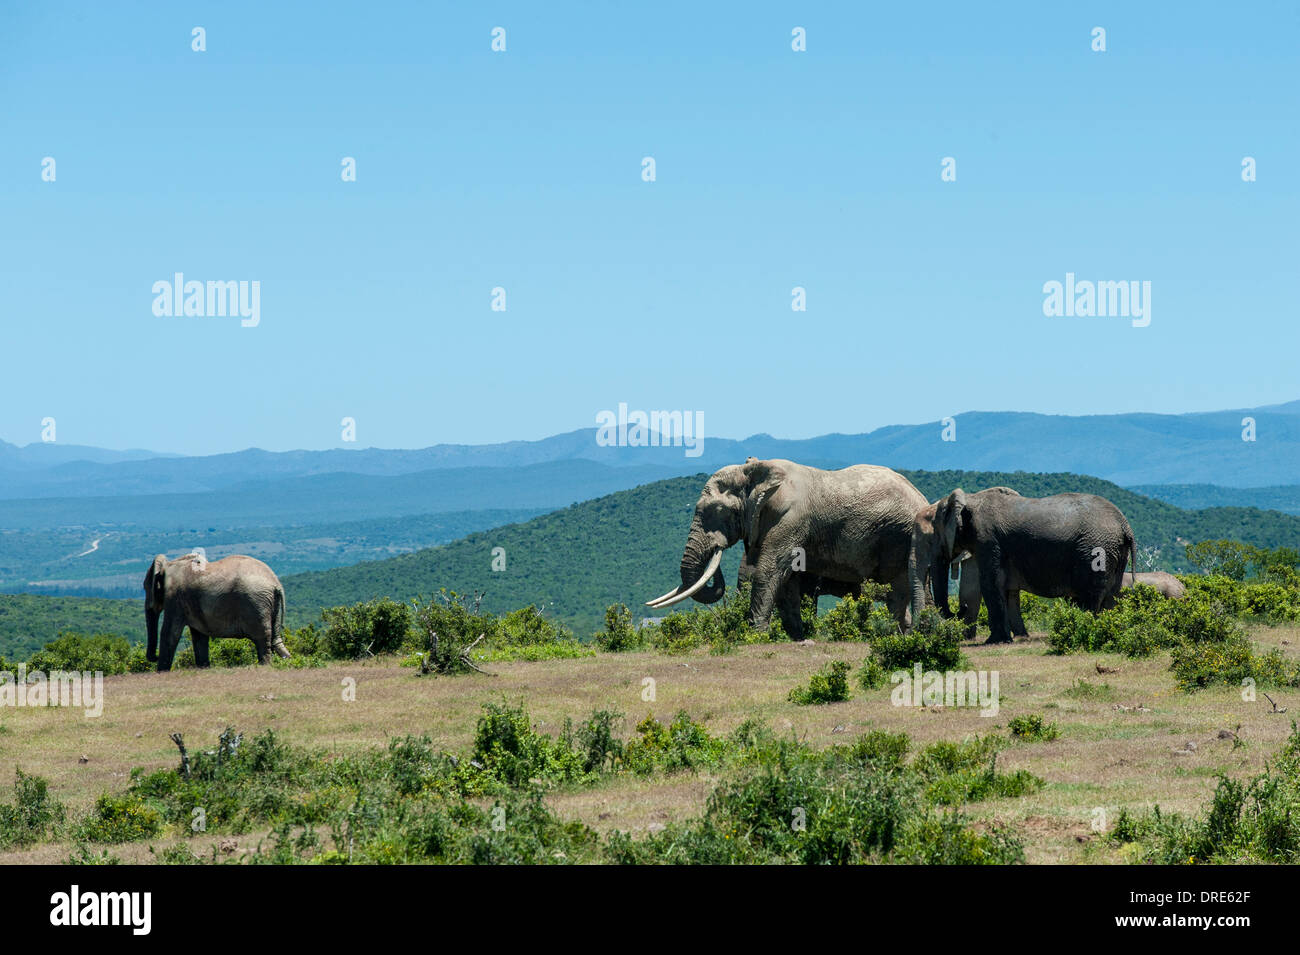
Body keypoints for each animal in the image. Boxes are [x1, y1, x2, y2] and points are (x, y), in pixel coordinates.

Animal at [644, 457, 930, 639]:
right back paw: (910, 634)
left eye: (718, 511)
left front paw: (755, 636)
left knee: (902, 590)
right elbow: (788, 581)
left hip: (901, 534)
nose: (717, 546)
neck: (755, 473)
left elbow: (769, 571)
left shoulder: (791, 519)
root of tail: (922, 497)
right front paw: (796, 636)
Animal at [909, 488, 1133, 647]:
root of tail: (1125, 525)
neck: (969, 499)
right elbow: (1007, 589)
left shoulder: (987, 540)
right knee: (1110, 595)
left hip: (1096, 549)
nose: (960, 608)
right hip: (1114, 552)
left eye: (932, 537)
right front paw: (1012, 638)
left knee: (1089, 596)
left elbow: (990, 583)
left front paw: (995, 641)